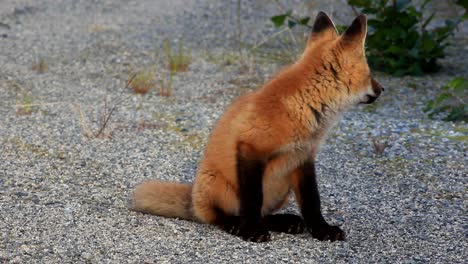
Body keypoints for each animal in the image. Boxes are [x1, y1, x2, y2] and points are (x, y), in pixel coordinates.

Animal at [129, 12, 384, 243]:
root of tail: (193, 198)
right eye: (370, 74)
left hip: (283, 189)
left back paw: (284, 222)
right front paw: (251, 232)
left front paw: (322, 231)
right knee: (221, 216)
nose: (382, 89)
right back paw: (237, 225)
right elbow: (252, 199)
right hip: (216, 184)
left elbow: (312, 202)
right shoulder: (250, 148)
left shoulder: (303, 158)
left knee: (264, 213)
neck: (303, 107)